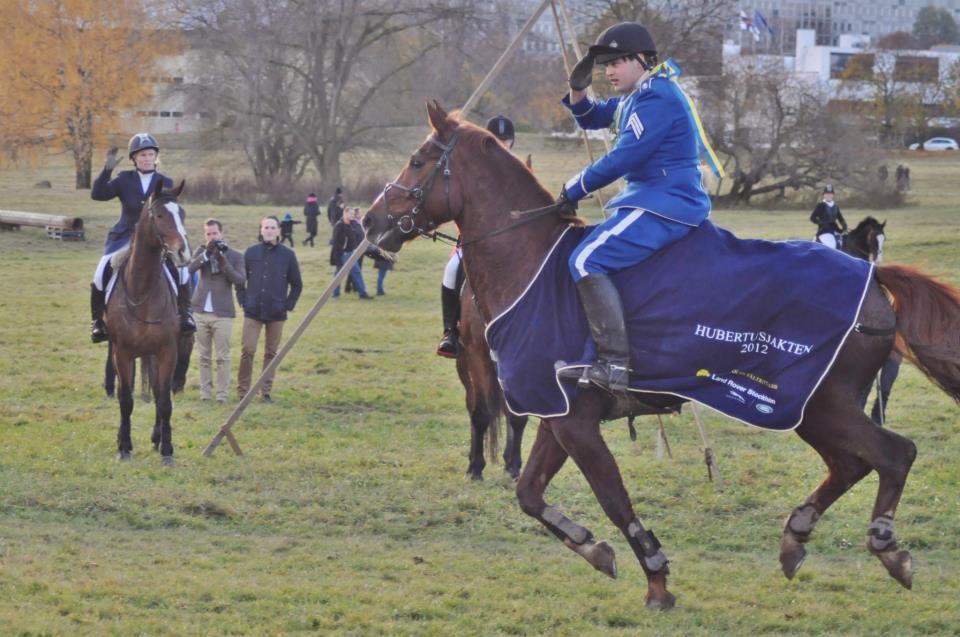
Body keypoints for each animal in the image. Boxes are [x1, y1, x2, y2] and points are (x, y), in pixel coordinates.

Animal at [107, 180, 191, 468]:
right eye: (160, 215)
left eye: (182, 214)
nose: (183, 253)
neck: (142, 287)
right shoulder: (122, 353)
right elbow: (125, 399)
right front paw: (123, 448)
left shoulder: (167, 351)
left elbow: (164, 400)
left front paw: (167, 450)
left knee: (156, 391)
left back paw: (157, 437)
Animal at [364, 102, 960, 608]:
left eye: (417, 160)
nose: (369, 222)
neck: (531, 262)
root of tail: (872, 279)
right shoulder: (560, 418)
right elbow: (531, 494)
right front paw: (594, 548)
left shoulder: (576, 425)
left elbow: (612, 499)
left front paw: (654, 577)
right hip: (808, 409)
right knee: (852, 463)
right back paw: (797, 536)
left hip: (819, 405)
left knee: (893, 454)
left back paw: (885, 547)